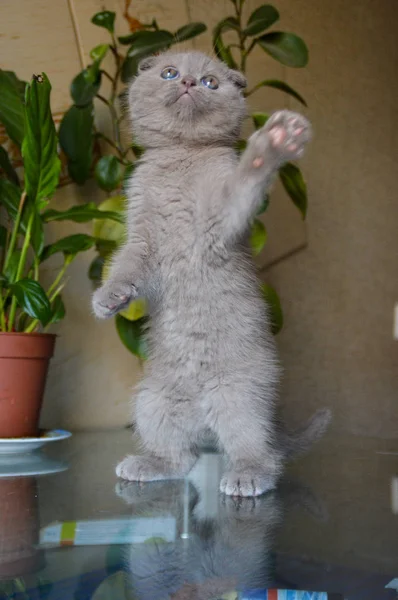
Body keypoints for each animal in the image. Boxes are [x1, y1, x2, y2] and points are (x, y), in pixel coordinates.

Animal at [92, 51, 330, 494]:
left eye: (210, 83)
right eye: (169, 73)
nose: (187, 82)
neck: (180, 160)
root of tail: (201, 413)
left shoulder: (218, 223)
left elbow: (243, 184)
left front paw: (274, 143)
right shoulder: (140, 237)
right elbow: (127, 266)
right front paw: (109, 298)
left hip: (240, 397)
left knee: (260, 450)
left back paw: (247, 476)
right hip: (153, 400)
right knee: (179, 456)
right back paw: (147, 464)